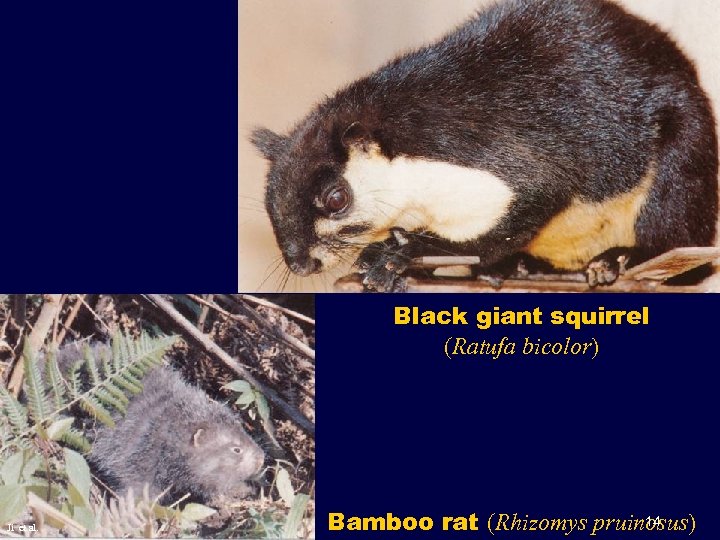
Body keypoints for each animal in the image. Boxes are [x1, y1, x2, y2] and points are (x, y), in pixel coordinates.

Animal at [251, 0, 718, 291]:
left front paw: (397, 255)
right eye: (270, 200)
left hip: (681, 169)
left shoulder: (504, 166)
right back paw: (523, 267)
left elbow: (495, 229)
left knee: (676, 246)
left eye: (336, 199)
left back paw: (616, 260)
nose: (300, 264)